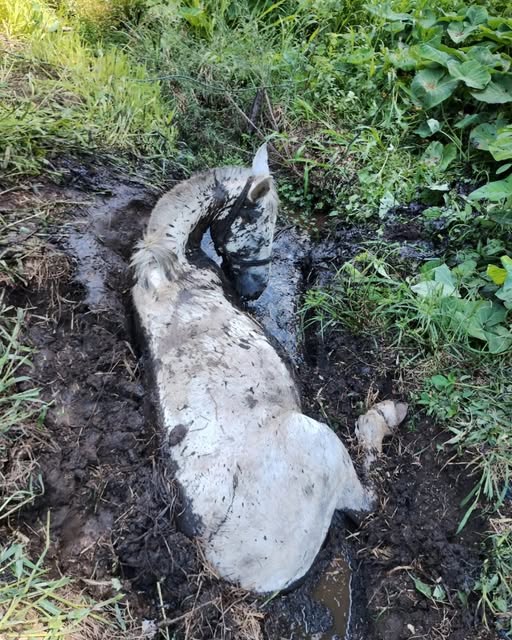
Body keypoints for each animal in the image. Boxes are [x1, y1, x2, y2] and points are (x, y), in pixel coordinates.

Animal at [131, 144, 403, 593]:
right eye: (262, 224)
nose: (256, 290)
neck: (170, 267)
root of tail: (237, 572)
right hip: (322, 445)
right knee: (369, 497)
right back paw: (386, 413)